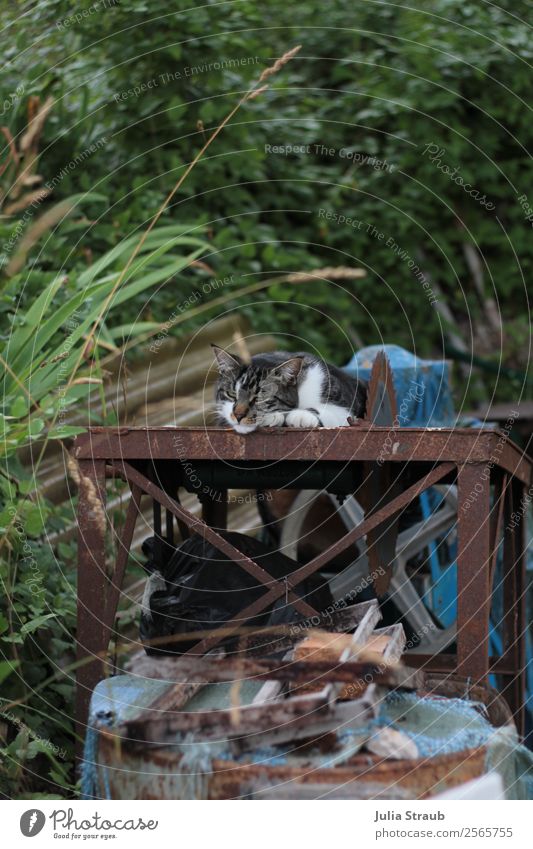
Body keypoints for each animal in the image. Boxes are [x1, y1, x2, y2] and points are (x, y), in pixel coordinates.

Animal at [211, 344, 366, 438]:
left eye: (260, 398)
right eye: (231, 394)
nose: (238, 415)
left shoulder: (345, 403)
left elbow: (336, 413)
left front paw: (301, 416)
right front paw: (273, 417)